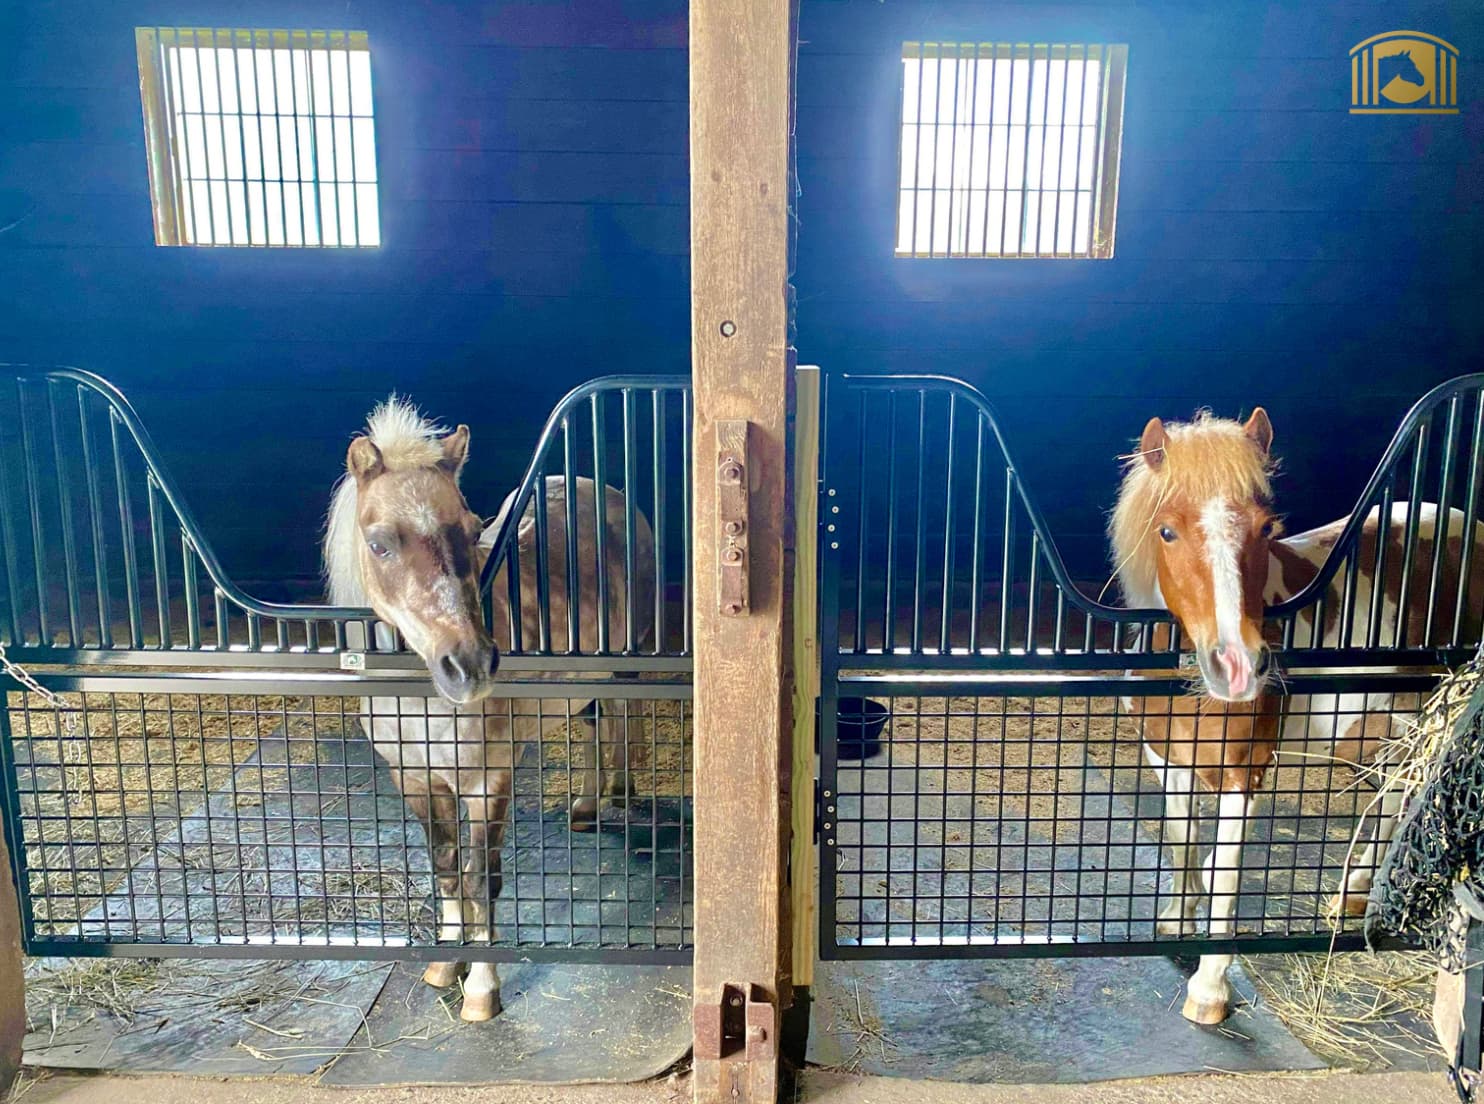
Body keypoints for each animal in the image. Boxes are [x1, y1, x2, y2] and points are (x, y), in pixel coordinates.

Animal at [324, 394, 655, 1014]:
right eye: (379, 542)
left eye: (474, 528)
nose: (471, 664)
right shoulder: (414, 779)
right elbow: (446, 869)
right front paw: (443, 964)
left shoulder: (489, 780)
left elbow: (484, 877)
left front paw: (481, 988)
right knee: (595, 720)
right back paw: (587, 804)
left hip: (633, 653)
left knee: (624, 712)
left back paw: (618, 791)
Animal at [1110, 406, 1484, 1026]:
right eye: (1166, 531)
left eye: (1266, 528)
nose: (1239, 665)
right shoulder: (1168, 759)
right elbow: (1183, 840)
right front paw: (1175, 922)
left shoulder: (1243, 774)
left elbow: (1224, 873)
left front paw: (1210, 989)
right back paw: (1356, 893)